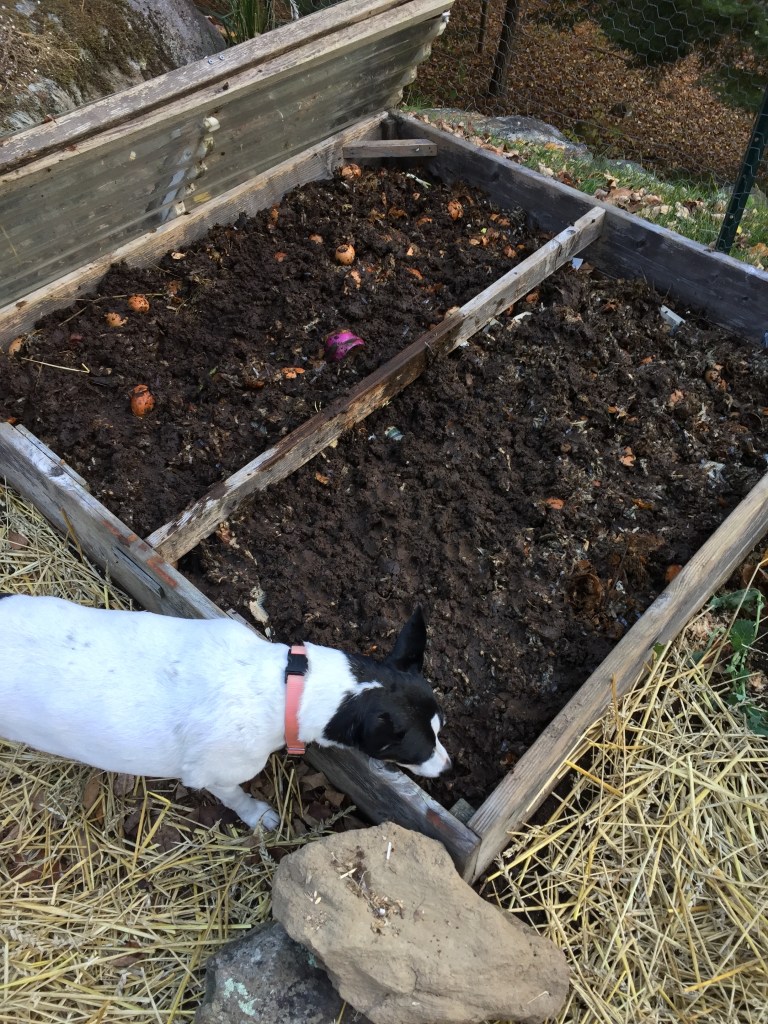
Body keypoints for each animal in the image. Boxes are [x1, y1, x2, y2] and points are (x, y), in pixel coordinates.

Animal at [0, 595, 449, 829]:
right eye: (415, 750)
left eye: (441, 728)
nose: (447, 766)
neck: (287, 685)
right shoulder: (216, 773)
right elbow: (235, 796)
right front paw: (259, 816)